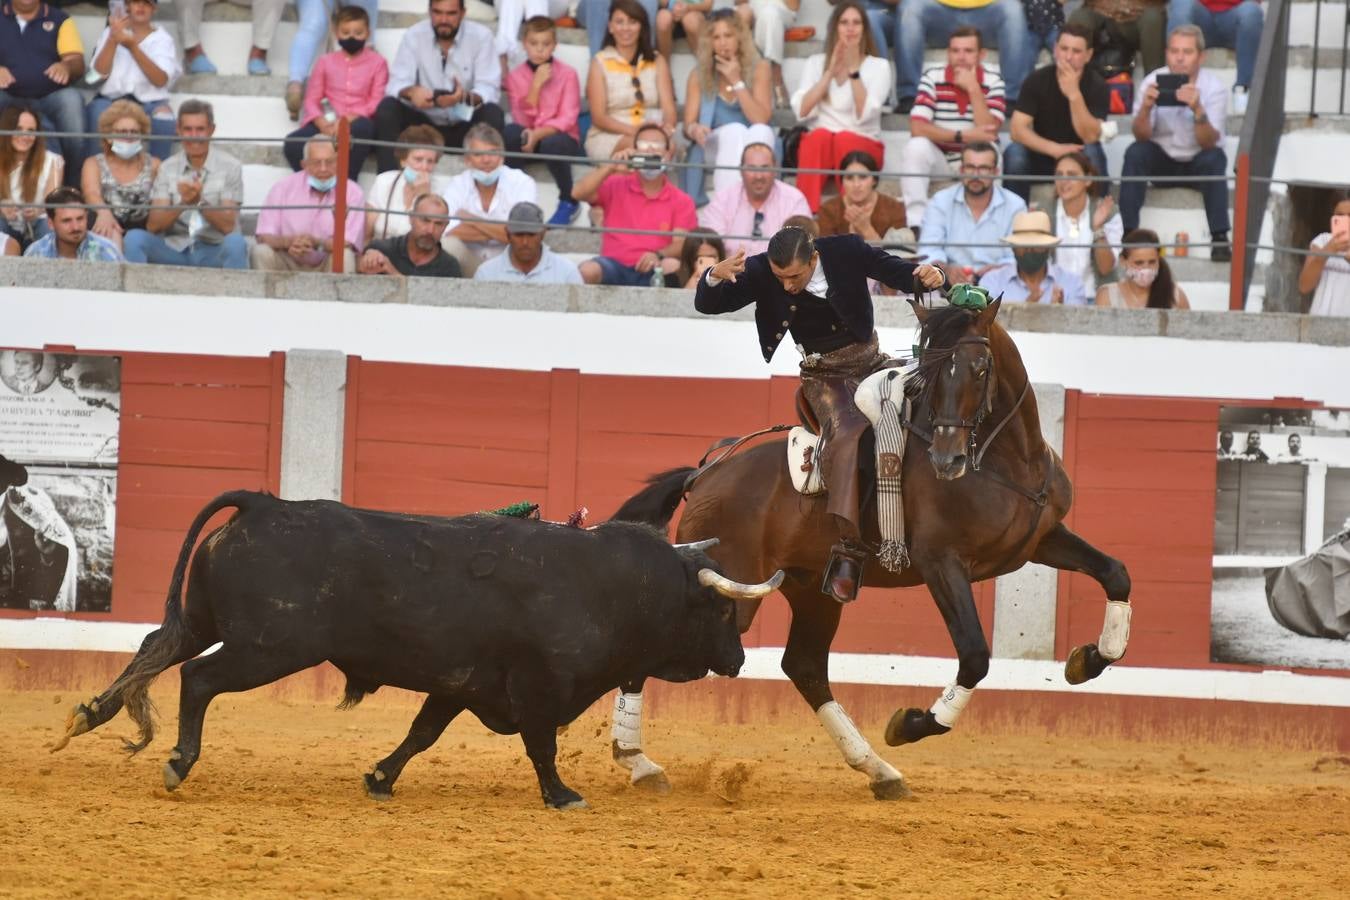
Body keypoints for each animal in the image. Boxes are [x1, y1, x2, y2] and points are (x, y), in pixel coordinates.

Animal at [55, 493, 783, 809]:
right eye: (722, 608)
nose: (739, 661)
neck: (613, 587)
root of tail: (264, 503)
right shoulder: (539, 690)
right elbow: (542, 747)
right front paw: (562, 796)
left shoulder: (461, 685)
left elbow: (421, 733)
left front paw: (379, 778)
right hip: (270, 646)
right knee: (199, 679)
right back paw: (178, 762)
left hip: (210, 620)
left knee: (158, 647)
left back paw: (86, 716)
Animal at [610, 299, 1128, 798]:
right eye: (928, 375)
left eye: (980, 368)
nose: (946, 459)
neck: (1003, 460)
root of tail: (706, 474)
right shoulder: (941, 563)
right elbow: (975, 654)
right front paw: (912, 724)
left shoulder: (1040, 539)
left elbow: (1115, 573)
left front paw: (1090, 659)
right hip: (732, 593)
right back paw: (638, 762)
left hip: (812, 591)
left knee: (805, 667)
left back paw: (879, 771)